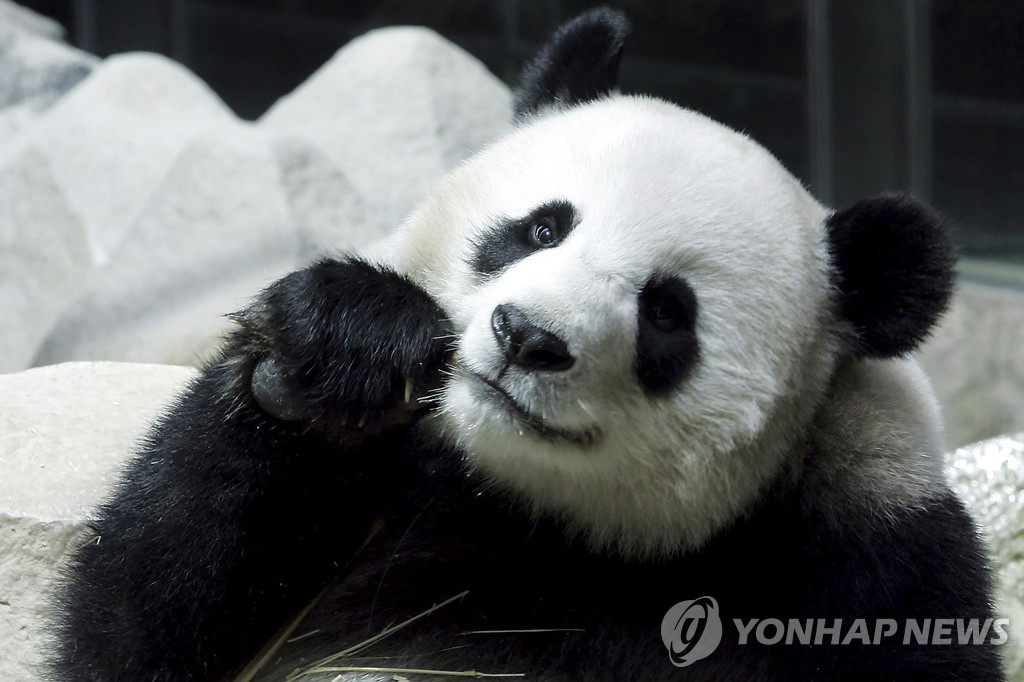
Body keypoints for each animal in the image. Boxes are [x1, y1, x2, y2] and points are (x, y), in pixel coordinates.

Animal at [54, 9, 999, 679]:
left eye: (668, 312)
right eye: (542, 227)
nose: (529, 336)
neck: (532, 510)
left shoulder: (875, 557)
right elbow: (134, 626)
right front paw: (343, 344)